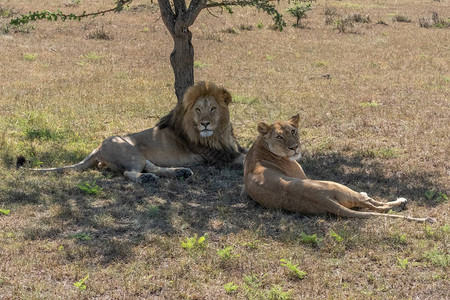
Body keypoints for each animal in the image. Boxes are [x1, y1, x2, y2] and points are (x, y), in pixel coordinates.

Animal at [19, 81, 246, 183]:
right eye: (198, 109)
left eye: (213, 108)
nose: (205, 124)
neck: (220, 133)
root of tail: (97, 148)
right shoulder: (219, 157)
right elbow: (244, 159)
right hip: (131, 153)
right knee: (131, 173)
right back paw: (149, 179)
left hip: (140, 156)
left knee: (153, 167)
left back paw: (180, 172)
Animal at [244, 115, 434, 223]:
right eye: (279, 137)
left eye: (293, 131)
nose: (294, 147)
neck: (260, 146)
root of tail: (322, 200)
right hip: (336, 185)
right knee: (374, 205)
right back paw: (399, 202)